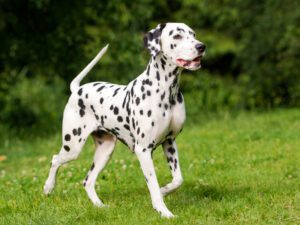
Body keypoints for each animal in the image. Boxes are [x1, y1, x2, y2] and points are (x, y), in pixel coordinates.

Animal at [43, 22, 205, 218]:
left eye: (193, 34)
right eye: (177, 36)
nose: (201, 46)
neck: (166, 91)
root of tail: (77, 89)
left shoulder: (170, 142)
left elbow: (178, 179)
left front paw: (164, 190)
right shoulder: (143, 150)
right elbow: (153, 184)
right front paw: (163, 211)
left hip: (105, 151)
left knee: (87, 181)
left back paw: (99, 206)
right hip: (72, 146)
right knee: (55, 159)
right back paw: (48, 187)